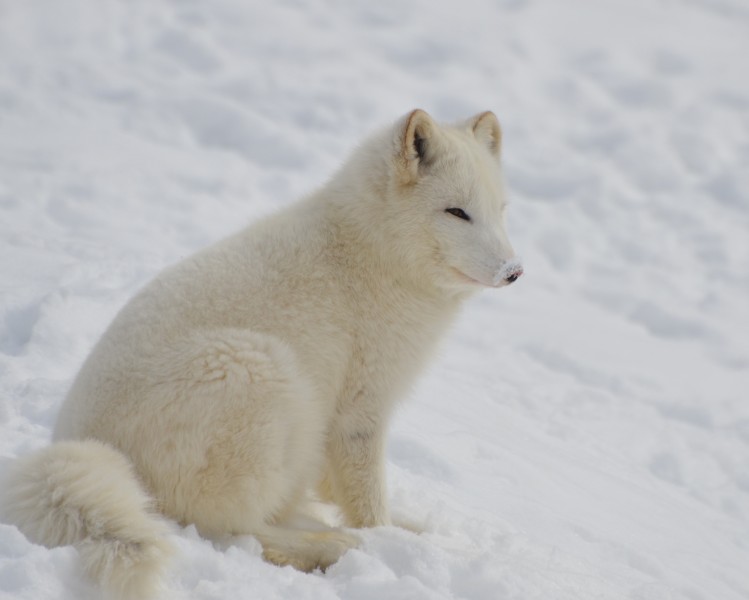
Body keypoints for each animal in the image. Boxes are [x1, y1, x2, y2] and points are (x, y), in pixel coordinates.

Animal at [1, 109, 520, 600]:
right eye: (457, 212)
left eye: (500, 210)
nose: (514, 272)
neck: (369, 250)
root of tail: (81, 442)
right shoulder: (361, 411)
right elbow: (367, 502)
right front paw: (388, 540)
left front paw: (412, 531)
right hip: (263, 372)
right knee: (232, 531)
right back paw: (330, 549)